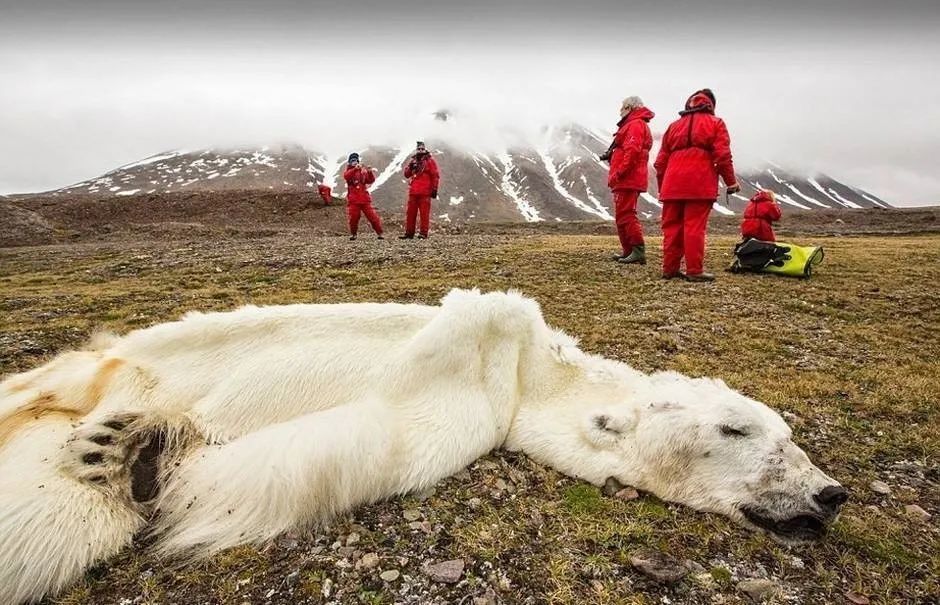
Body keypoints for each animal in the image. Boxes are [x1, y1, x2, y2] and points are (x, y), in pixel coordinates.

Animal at [0, 290, 844, 604]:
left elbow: (342, 444)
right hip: (110, 360)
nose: (829, 492)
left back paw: (114, 449)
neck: (530, 375)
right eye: (737, 427)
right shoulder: (485, 359)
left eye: (787, 434)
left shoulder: (467, 417)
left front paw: (149, 456)